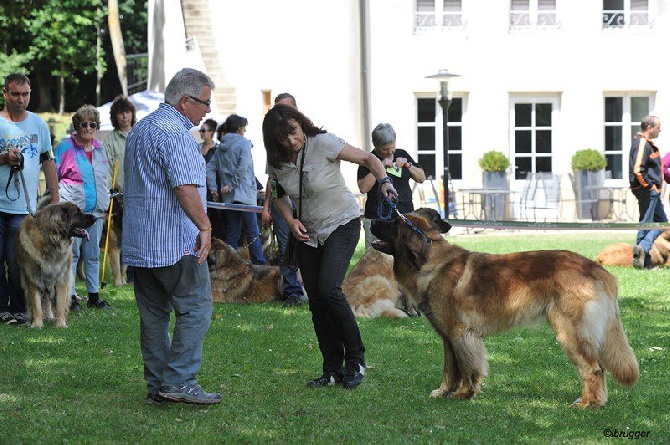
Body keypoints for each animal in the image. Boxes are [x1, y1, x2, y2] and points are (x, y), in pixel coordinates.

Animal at [372, 207, 640, 406]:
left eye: (392, 222)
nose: (372, 219)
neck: (430, 262)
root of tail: (597, 269)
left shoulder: (461, 332)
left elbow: (467, 367)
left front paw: (464, 394)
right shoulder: (447, 336)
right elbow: (450, 368)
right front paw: (444, 392)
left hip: (570, 331)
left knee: (592, 369)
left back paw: (588, 404)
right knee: (598, 367)